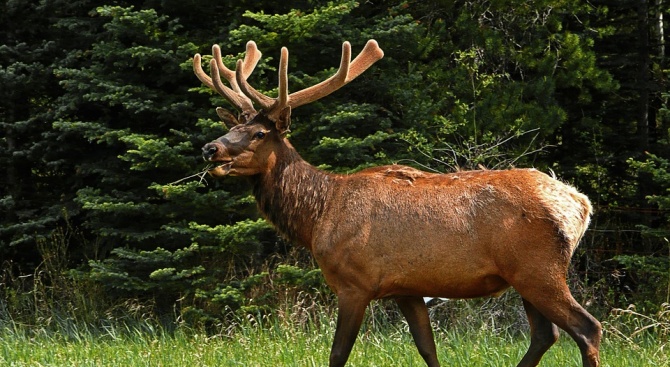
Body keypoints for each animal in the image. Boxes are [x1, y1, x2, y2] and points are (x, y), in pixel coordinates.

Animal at [193, 38, 604, 366]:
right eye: (233, 126)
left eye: (259, 133)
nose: (210, 148)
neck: (317, 217)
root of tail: (580, 205)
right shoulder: (406, 288)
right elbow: (427, 348)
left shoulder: (355, 283)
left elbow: (338, 353)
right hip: (524, 275)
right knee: (545, 335)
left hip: (538, 268)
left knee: (587, 327)